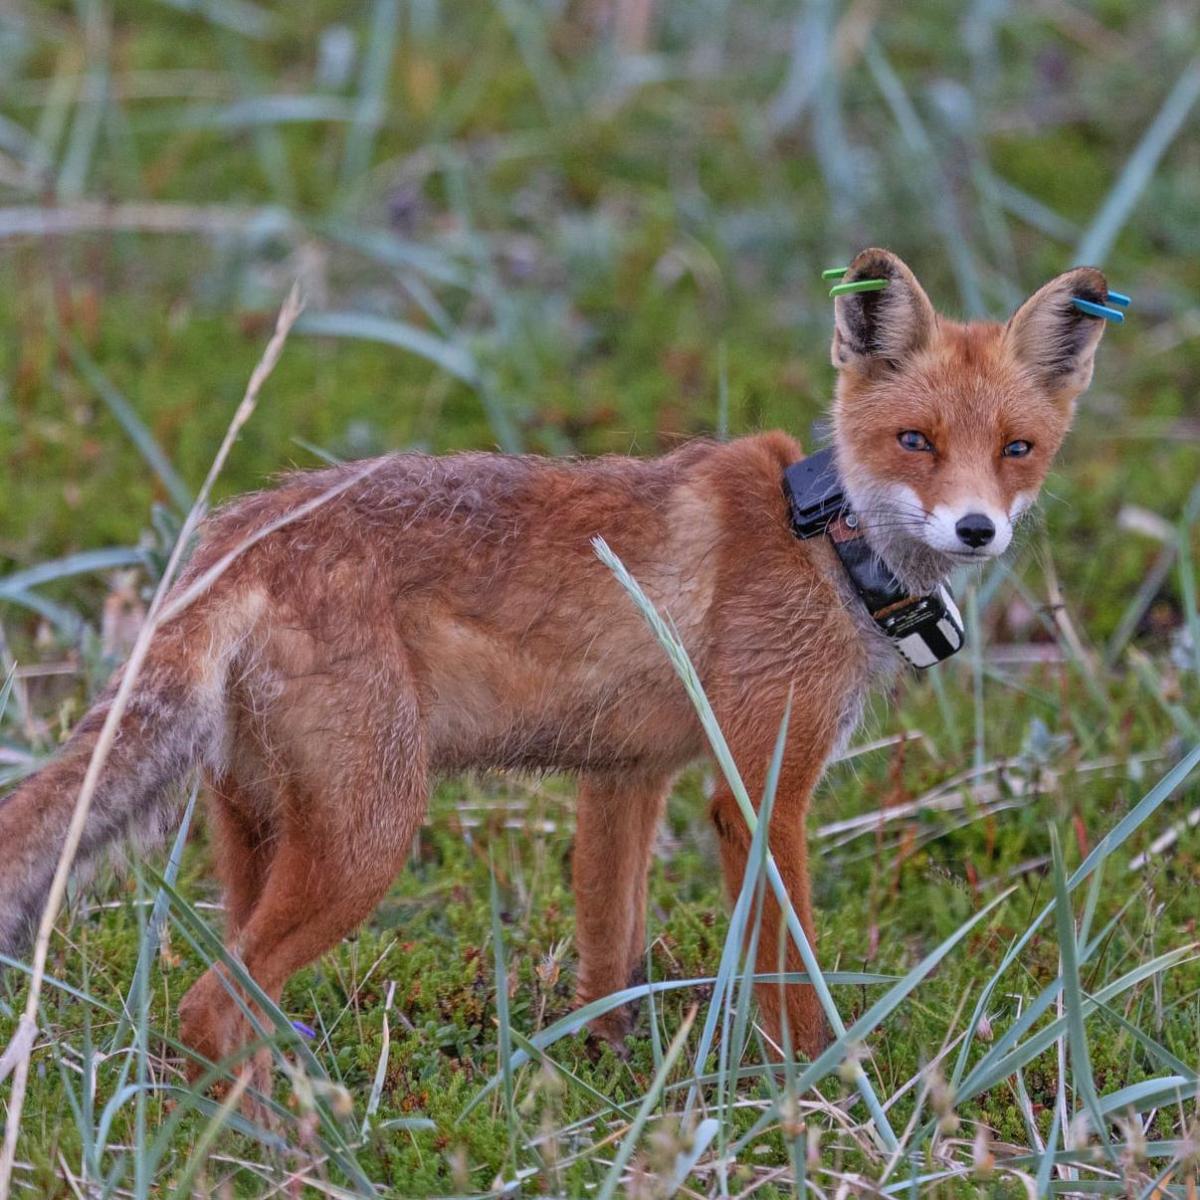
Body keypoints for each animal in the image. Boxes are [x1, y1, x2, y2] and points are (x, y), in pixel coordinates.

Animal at [0, 250, 1104, 1070]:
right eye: (916, 440)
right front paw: (822, 1090)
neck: (829, 544)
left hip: (261, 832)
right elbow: (789, 975)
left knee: (230, 1008)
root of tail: (235, 530)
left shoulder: (625, 780)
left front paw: (605, 1077)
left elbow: (609, 957)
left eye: (1017, 449)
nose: (976, 531)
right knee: (209, 1011)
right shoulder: (757, 791)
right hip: (371, 837)